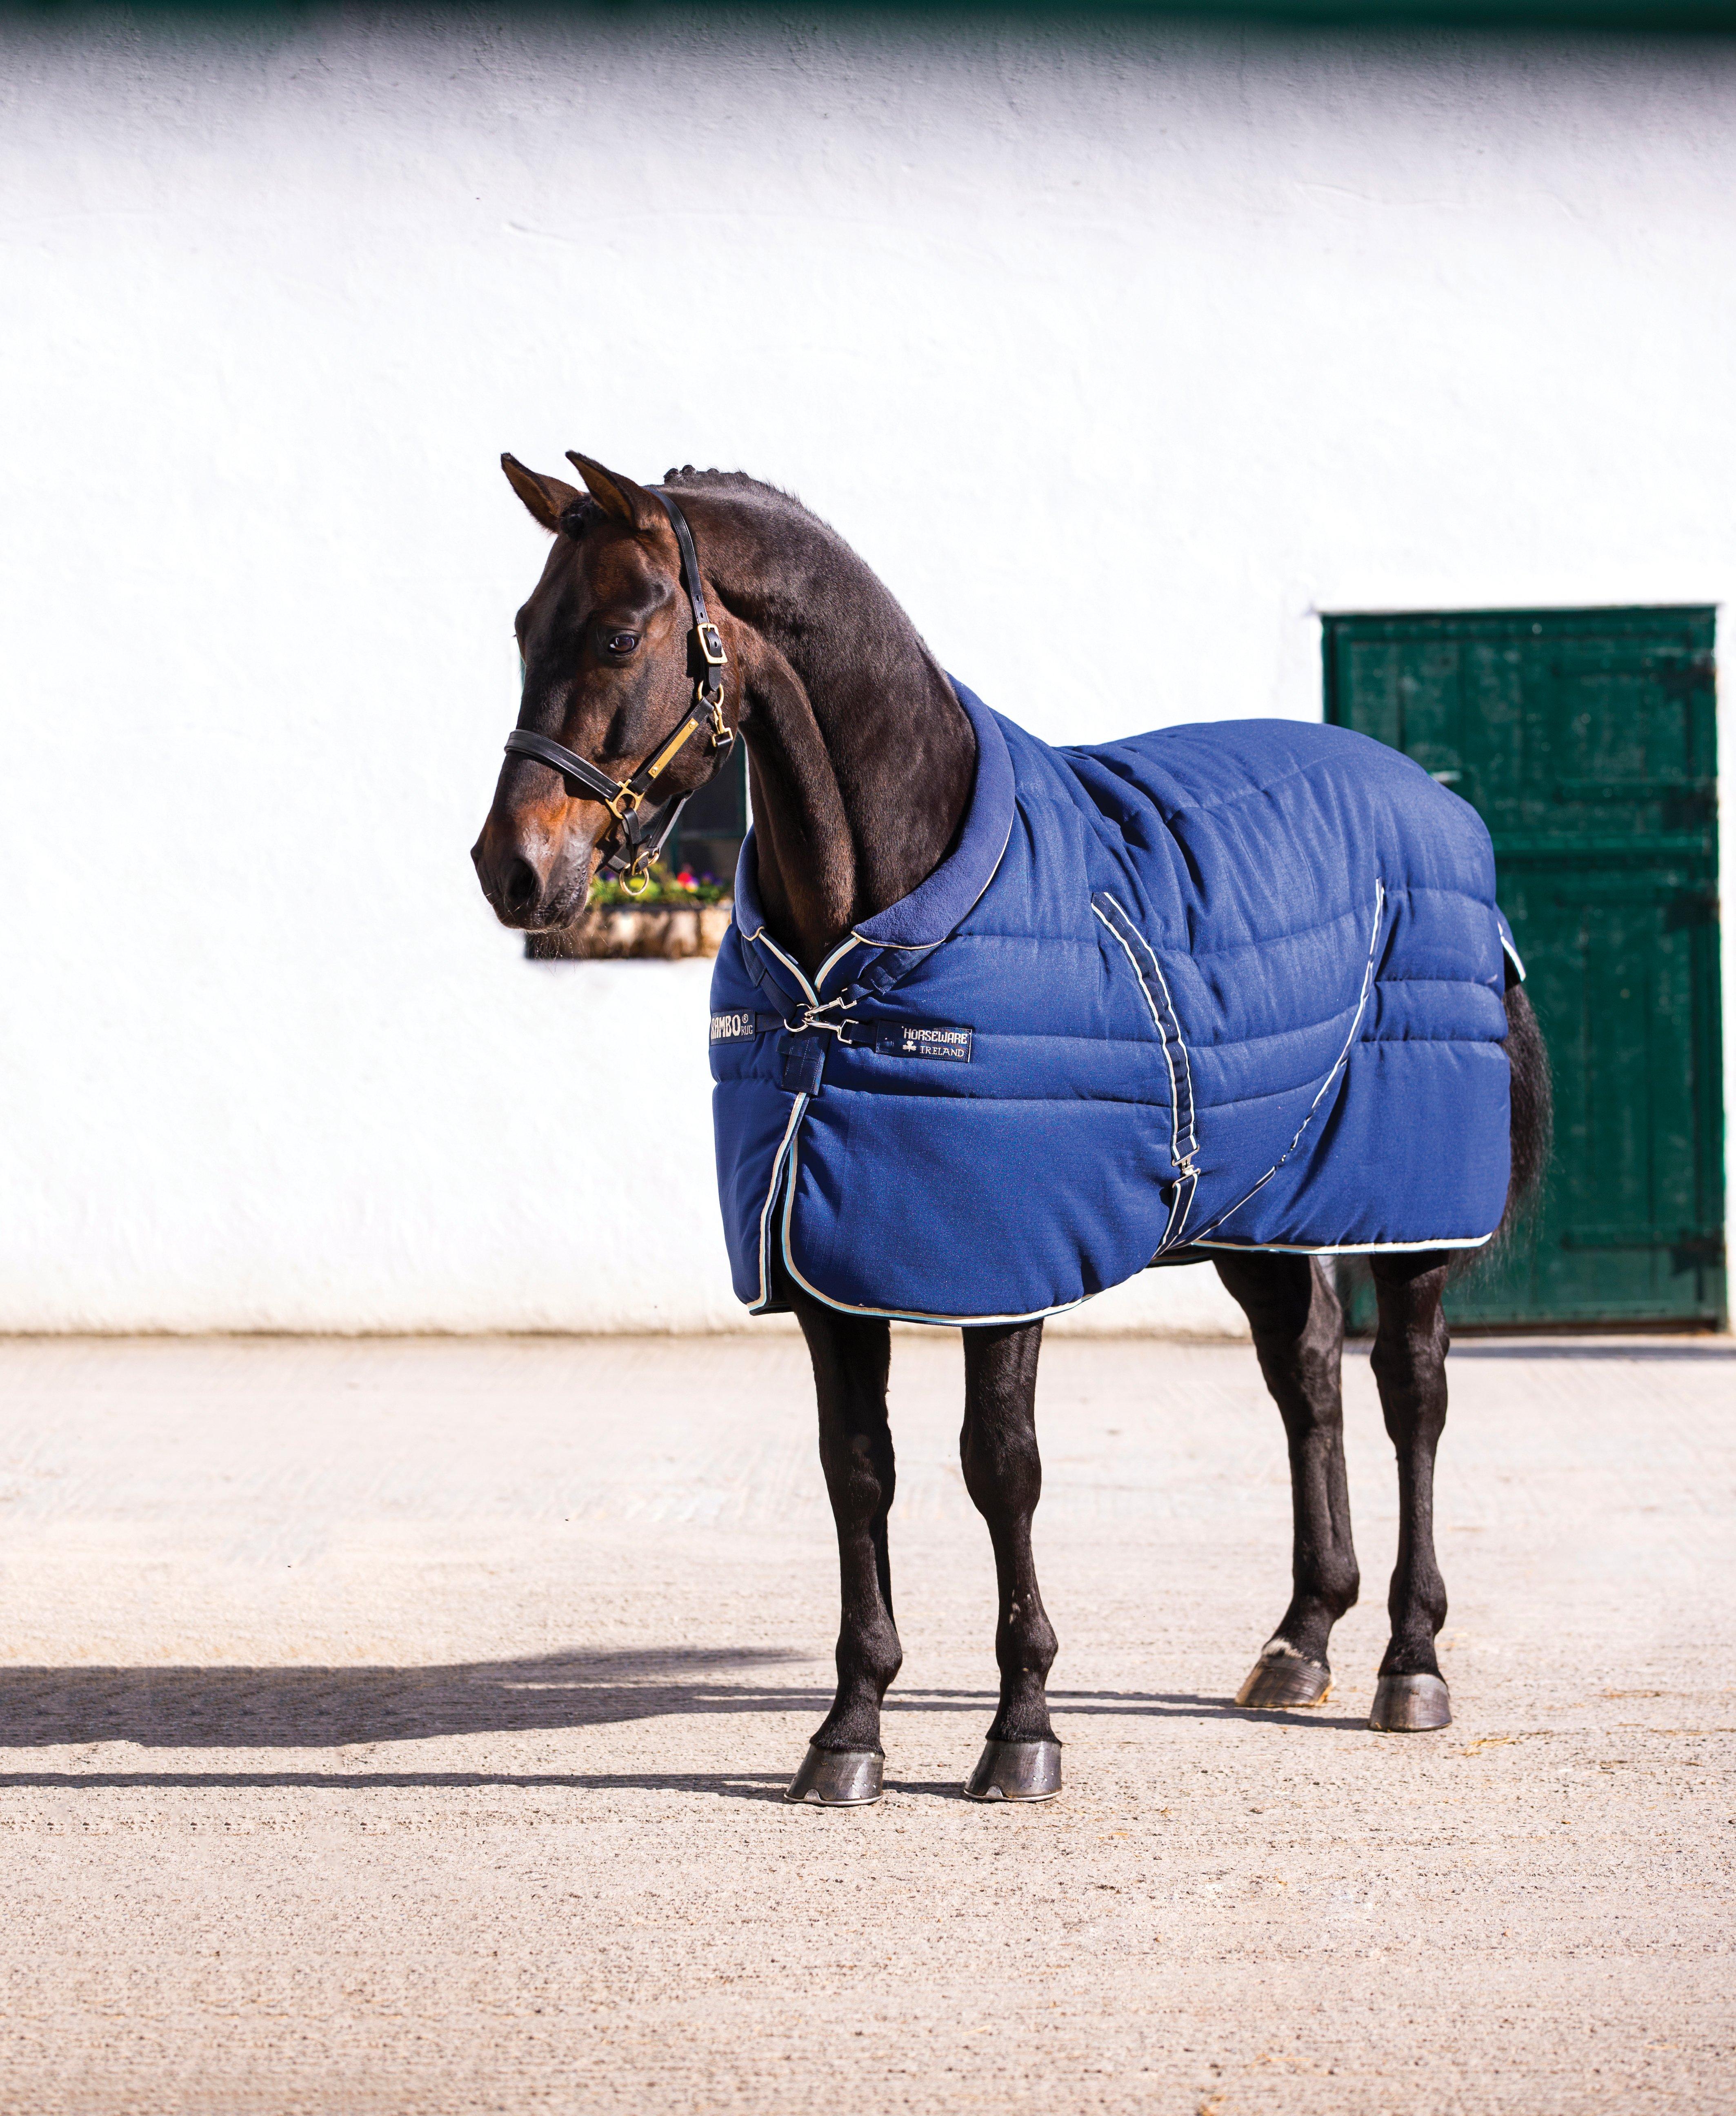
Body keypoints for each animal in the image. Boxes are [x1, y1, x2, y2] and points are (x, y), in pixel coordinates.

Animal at [471, 451, 1550, 1807]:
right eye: (522, 629)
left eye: (619, 633)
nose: (511, 871)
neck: (872, 923)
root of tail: (1438, 814)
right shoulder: (825, 1263)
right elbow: (856, 1470)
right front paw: (848, 1734)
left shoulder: (1001, 1260)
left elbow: (1001, 1468)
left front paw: (1021, 1728)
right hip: (1262, 1209)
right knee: (1303, 1377)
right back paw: (1300, 1641)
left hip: (1405, 1218)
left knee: (1410, 1395)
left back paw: (1408, 1662)